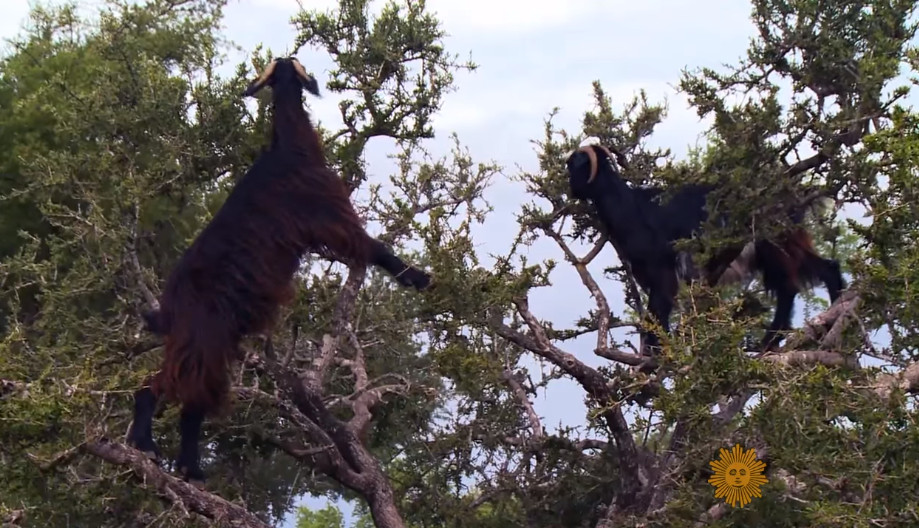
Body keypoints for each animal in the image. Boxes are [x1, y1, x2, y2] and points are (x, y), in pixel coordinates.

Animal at [568, 143, 848, 354]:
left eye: (575, 166)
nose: (571, 190)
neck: (631, 207)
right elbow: (655, 315)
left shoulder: (663, 271)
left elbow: (658, 314)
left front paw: (655, 357)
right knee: (815, 273)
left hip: (774, 242)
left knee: (791, 285)